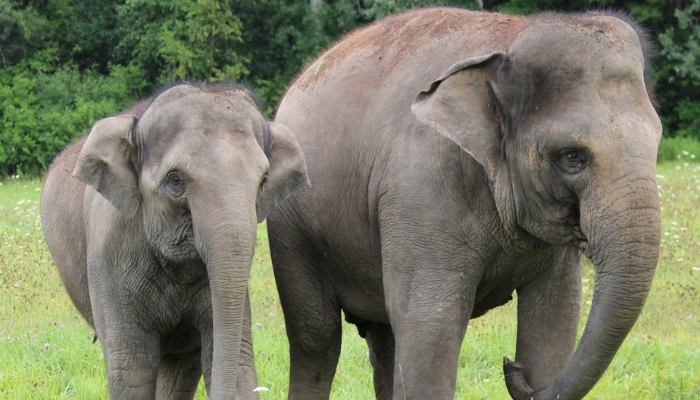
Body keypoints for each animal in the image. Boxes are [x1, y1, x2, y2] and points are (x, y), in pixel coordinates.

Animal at [267, 8, 661, 400]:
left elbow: (554, 319)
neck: (511, 39)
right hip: (293, 230)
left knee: (384, 338)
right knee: (317, 336)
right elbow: (430, 325)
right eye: (572, 156)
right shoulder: (422, 189)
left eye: (656, 141)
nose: (512, 367)